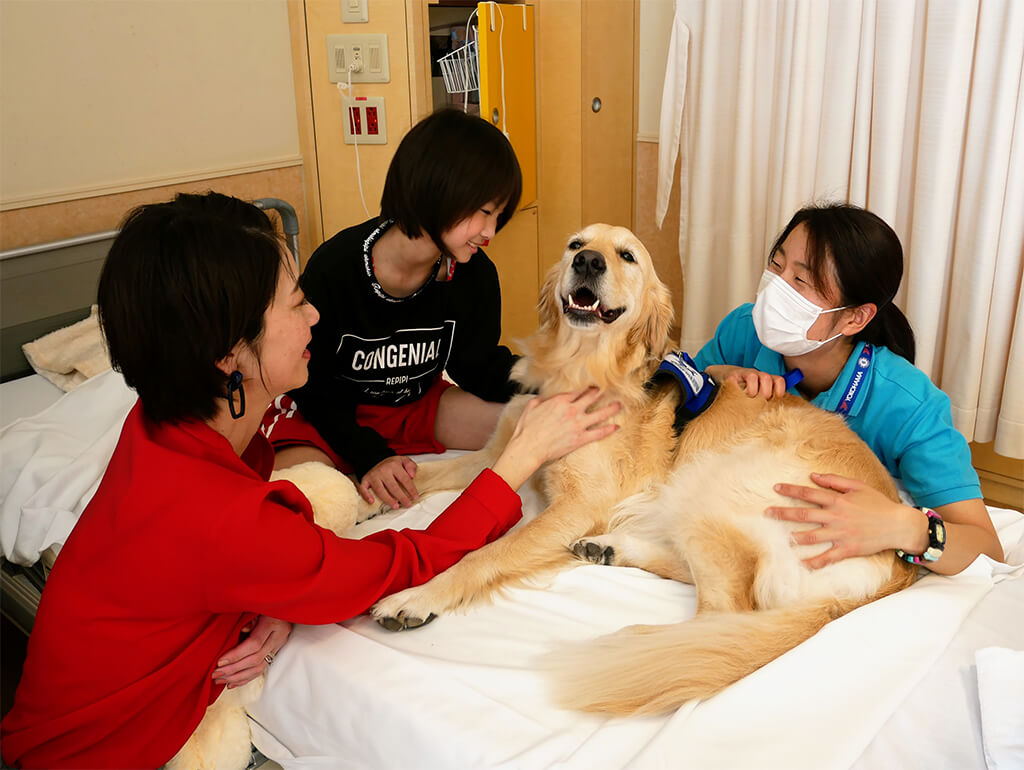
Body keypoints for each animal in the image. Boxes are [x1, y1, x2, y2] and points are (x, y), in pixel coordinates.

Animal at [366, 222, 913, 716]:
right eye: (575, 244)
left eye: (627, 256)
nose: (588, 262)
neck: (579, 369)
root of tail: (893, 570)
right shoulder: (496, 455)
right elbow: (424, 475)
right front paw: (368, 493)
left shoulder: (578, 505)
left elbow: (487, 553)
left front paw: (418, 596)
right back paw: (610, 549)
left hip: (714, 480)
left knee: (721, 623)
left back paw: (650, 646)